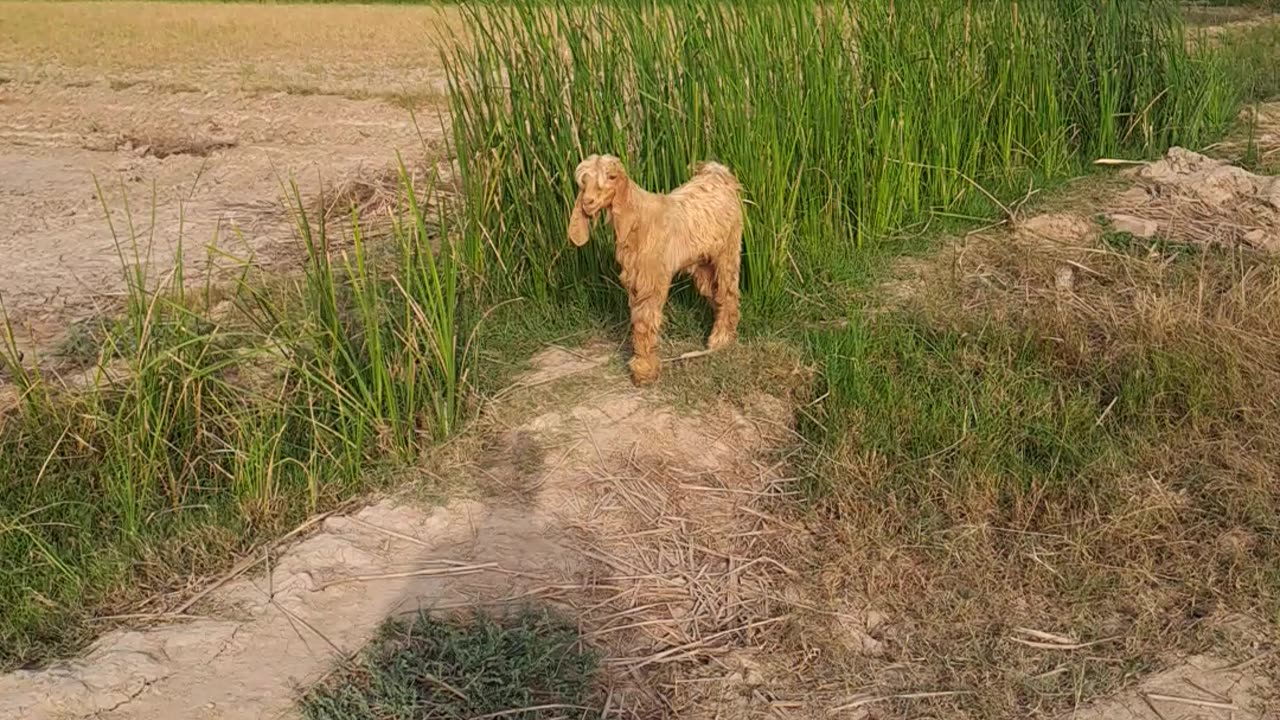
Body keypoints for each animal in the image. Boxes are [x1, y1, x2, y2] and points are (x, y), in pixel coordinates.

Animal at [568, 153, 747, 384]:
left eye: (611, 177)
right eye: (583, 182)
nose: (588, 202)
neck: (638, 220)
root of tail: (718, 174)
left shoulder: (651, 280)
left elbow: (645, 320)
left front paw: (645, 371)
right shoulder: (635, 279)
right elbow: (638, 320)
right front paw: (642, 365)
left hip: (728, 251)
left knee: (729, 291)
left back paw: (721, 339)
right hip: (703, 264)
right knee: (716, 294)